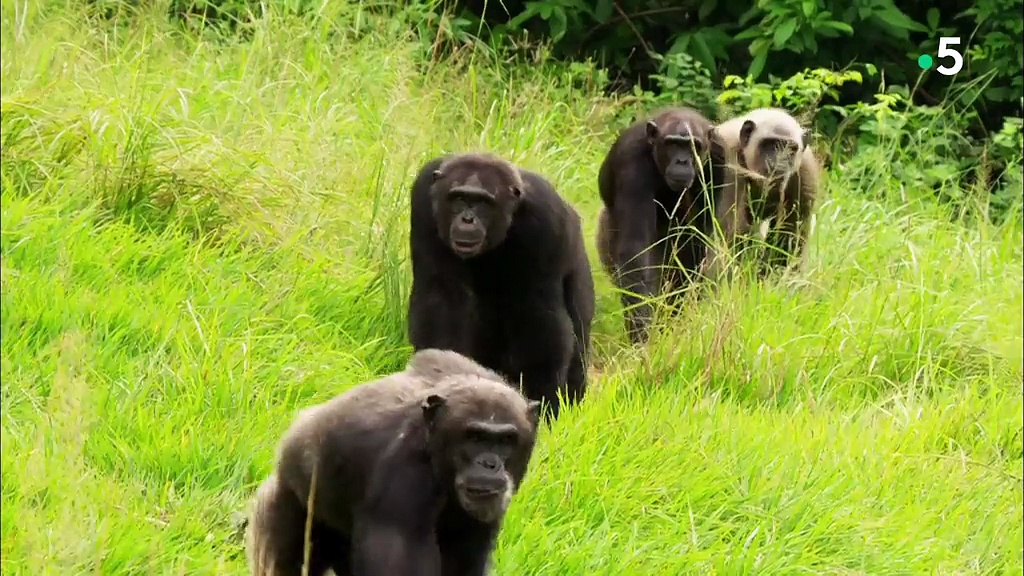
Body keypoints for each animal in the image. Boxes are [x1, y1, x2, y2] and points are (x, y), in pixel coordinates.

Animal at [403, 150, 593, 420]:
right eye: (459, 198)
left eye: (483, 203)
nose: (467, 219)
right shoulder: (422, 202)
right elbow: (443, 296)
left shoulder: (546, 220)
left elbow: (539, 316)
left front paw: (542, 404)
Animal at [598, 106, 724, 342]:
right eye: (673, 143)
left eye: (693, 145)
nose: (682, 161)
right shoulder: (631, 163)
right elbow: (636, 252)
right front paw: (642, 334)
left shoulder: (718, 159)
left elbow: (698, 235)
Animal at [704, 106, 823, 280]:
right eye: (770, 145)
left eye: (791, 149)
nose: (779, 163)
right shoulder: (727, 156)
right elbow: (731, 229)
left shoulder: (805, 168)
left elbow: (790, 234)